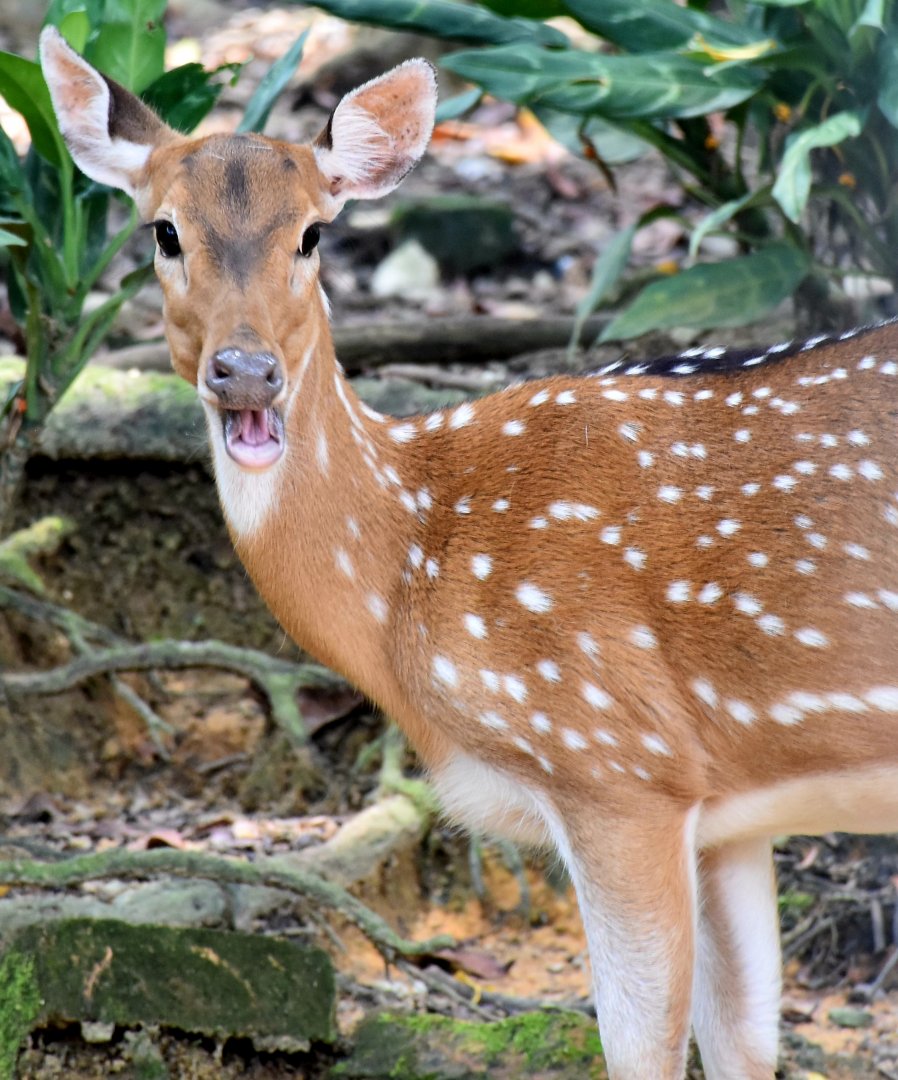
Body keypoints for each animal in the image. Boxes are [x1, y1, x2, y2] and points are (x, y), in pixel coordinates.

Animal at [39, 24, 898, 1079]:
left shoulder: (618, 762)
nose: (245, 372)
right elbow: (742, 1044)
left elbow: (639, 1048)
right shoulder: (722, 809)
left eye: (313, 234)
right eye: (163, 231)